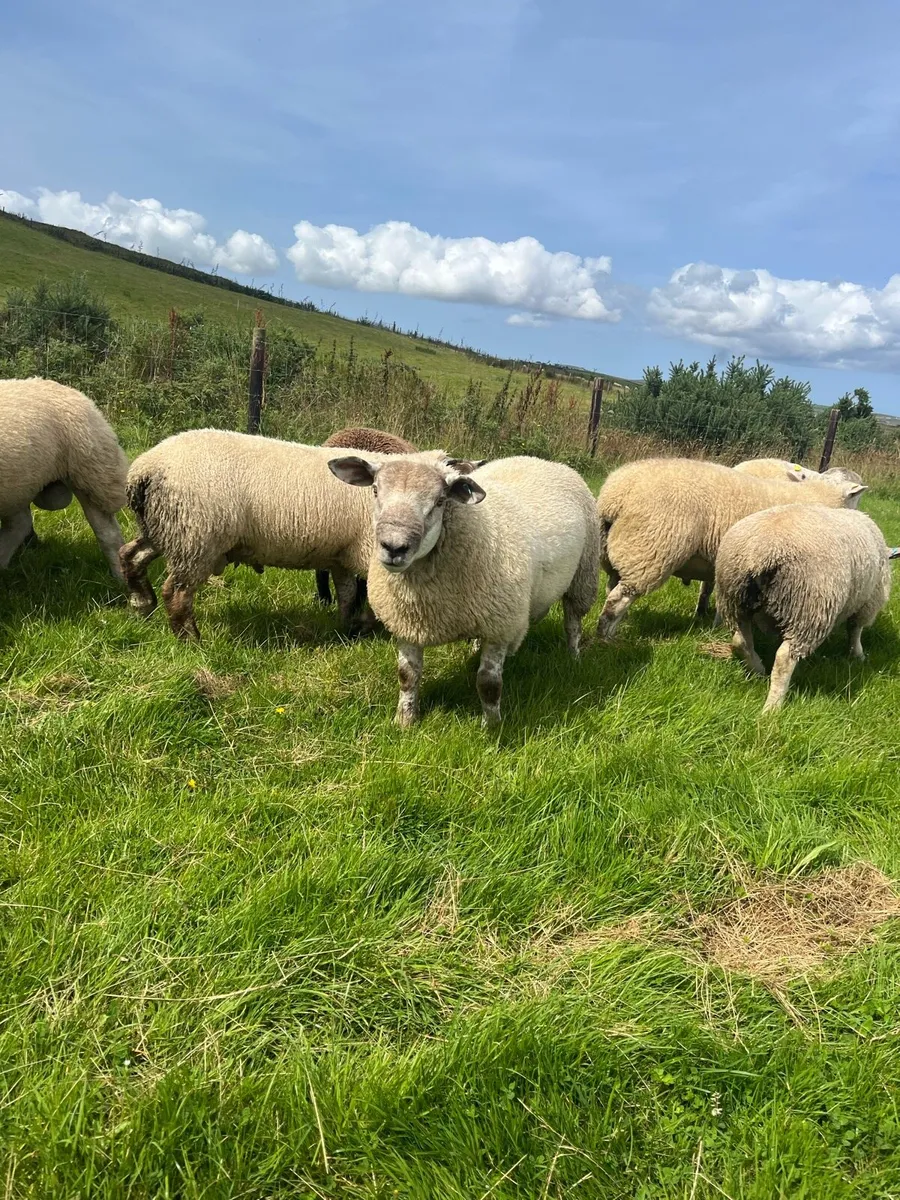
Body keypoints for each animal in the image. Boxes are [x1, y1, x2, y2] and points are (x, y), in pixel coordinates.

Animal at [328, 454, 602, 727]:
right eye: (375, 490)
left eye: (440, 501)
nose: (394, 547)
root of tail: (543, 461)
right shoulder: (407, 623)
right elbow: (407, 676)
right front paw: (404, 720)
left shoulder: (501, 626)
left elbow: (489, 685)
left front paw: (492, 727)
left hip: (583, 575)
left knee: (572, 622)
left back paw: (573, 657)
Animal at [595, 457, 867, 641]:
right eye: (856, 496)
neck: (821, 494)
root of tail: (616, 493)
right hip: (650, 549)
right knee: (619, 599)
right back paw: (605, 636)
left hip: (616, 550)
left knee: (612, 588)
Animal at [715, 504, 892, 712]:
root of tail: (758, 555)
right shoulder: (868, 601)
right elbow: (855, 630)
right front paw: (857, 654)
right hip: (807, 608)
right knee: (783, 659)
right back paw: (772, 707)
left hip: (734, 599)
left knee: (740, 640)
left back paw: (758, 669)